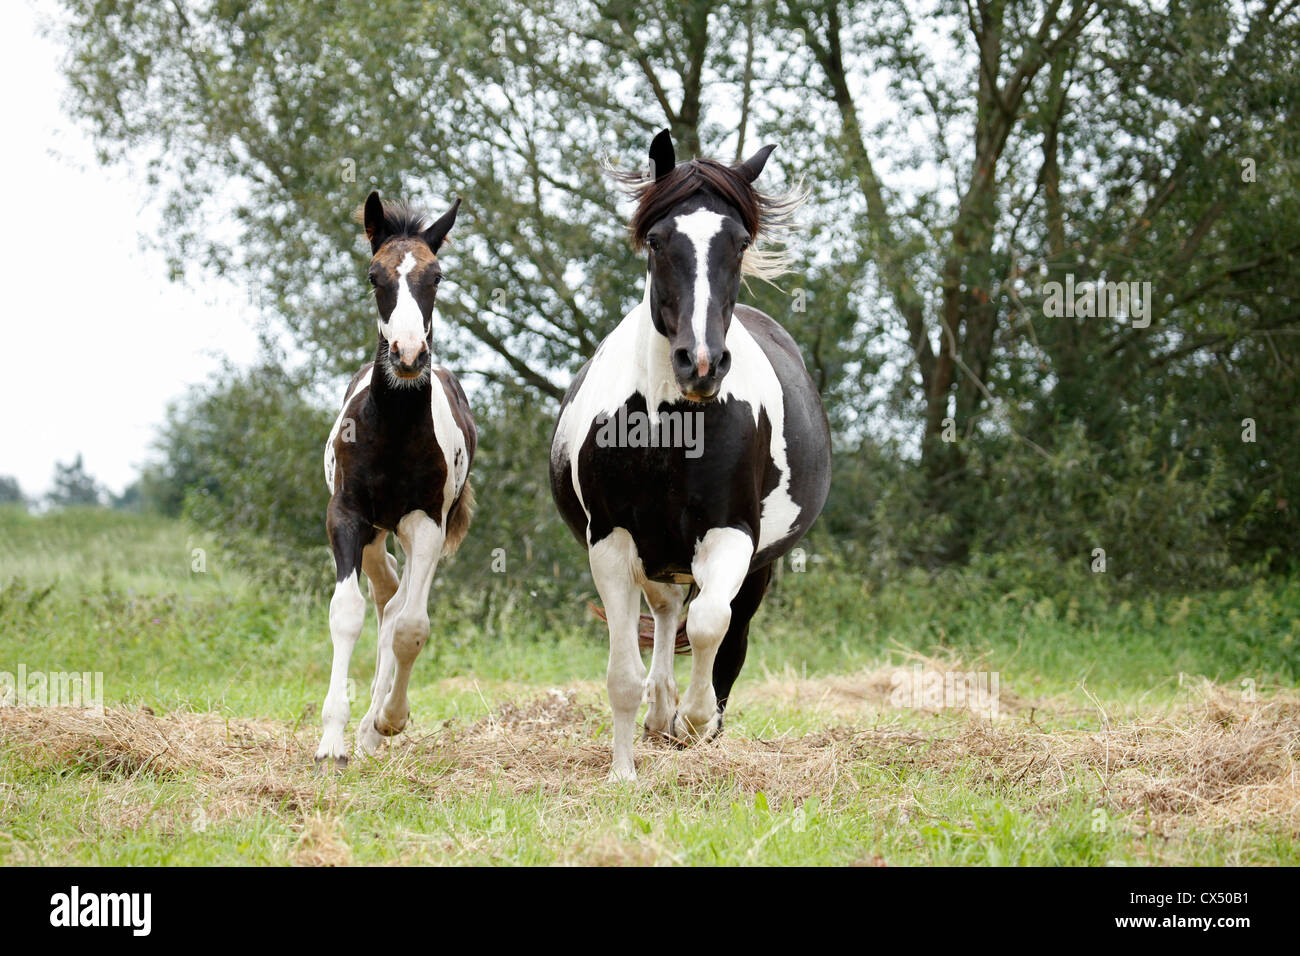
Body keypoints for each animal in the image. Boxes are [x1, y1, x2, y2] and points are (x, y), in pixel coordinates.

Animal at [314, 192, 478, 770]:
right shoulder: (346, 516)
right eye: (374, 275)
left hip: (414, 532)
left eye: (437, 275)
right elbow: (347, 613)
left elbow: (411, 628)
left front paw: (388, 719)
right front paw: (331, 742)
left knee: (398, 609)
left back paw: (373, 725)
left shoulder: (426, 524)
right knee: (384, 598)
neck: (392, 431)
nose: (408, 355)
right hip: (374, 534)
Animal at [548, 132, 832, 780]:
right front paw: (624, 772)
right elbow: (624, 673)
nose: (700, 364)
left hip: (754, 565)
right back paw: (658, 716)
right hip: (659, 557)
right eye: (657, 240)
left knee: (724, 631)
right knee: (665, 613)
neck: (670, 430)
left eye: (740, 241)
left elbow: (710, 628)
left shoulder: (731, 537)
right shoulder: (612, 544)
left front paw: (697, 723)